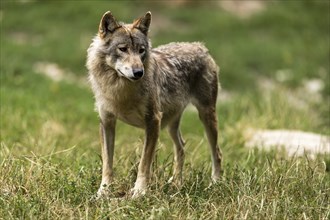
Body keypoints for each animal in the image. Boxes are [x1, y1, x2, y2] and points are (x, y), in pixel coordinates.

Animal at [86, 11, 223, 199]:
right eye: (123, 49)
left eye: (141, 50)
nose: (138, 72)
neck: (120, 89)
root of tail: (199, 46)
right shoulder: (107, 122)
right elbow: (107, 164)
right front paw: (103, 192)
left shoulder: (153, 121)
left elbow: (144, 164)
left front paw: (139, 192)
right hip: (171, 125)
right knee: (181, 148)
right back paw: (176, 184)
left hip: (206, 117)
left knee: (217, 152)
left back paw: (215, 184)